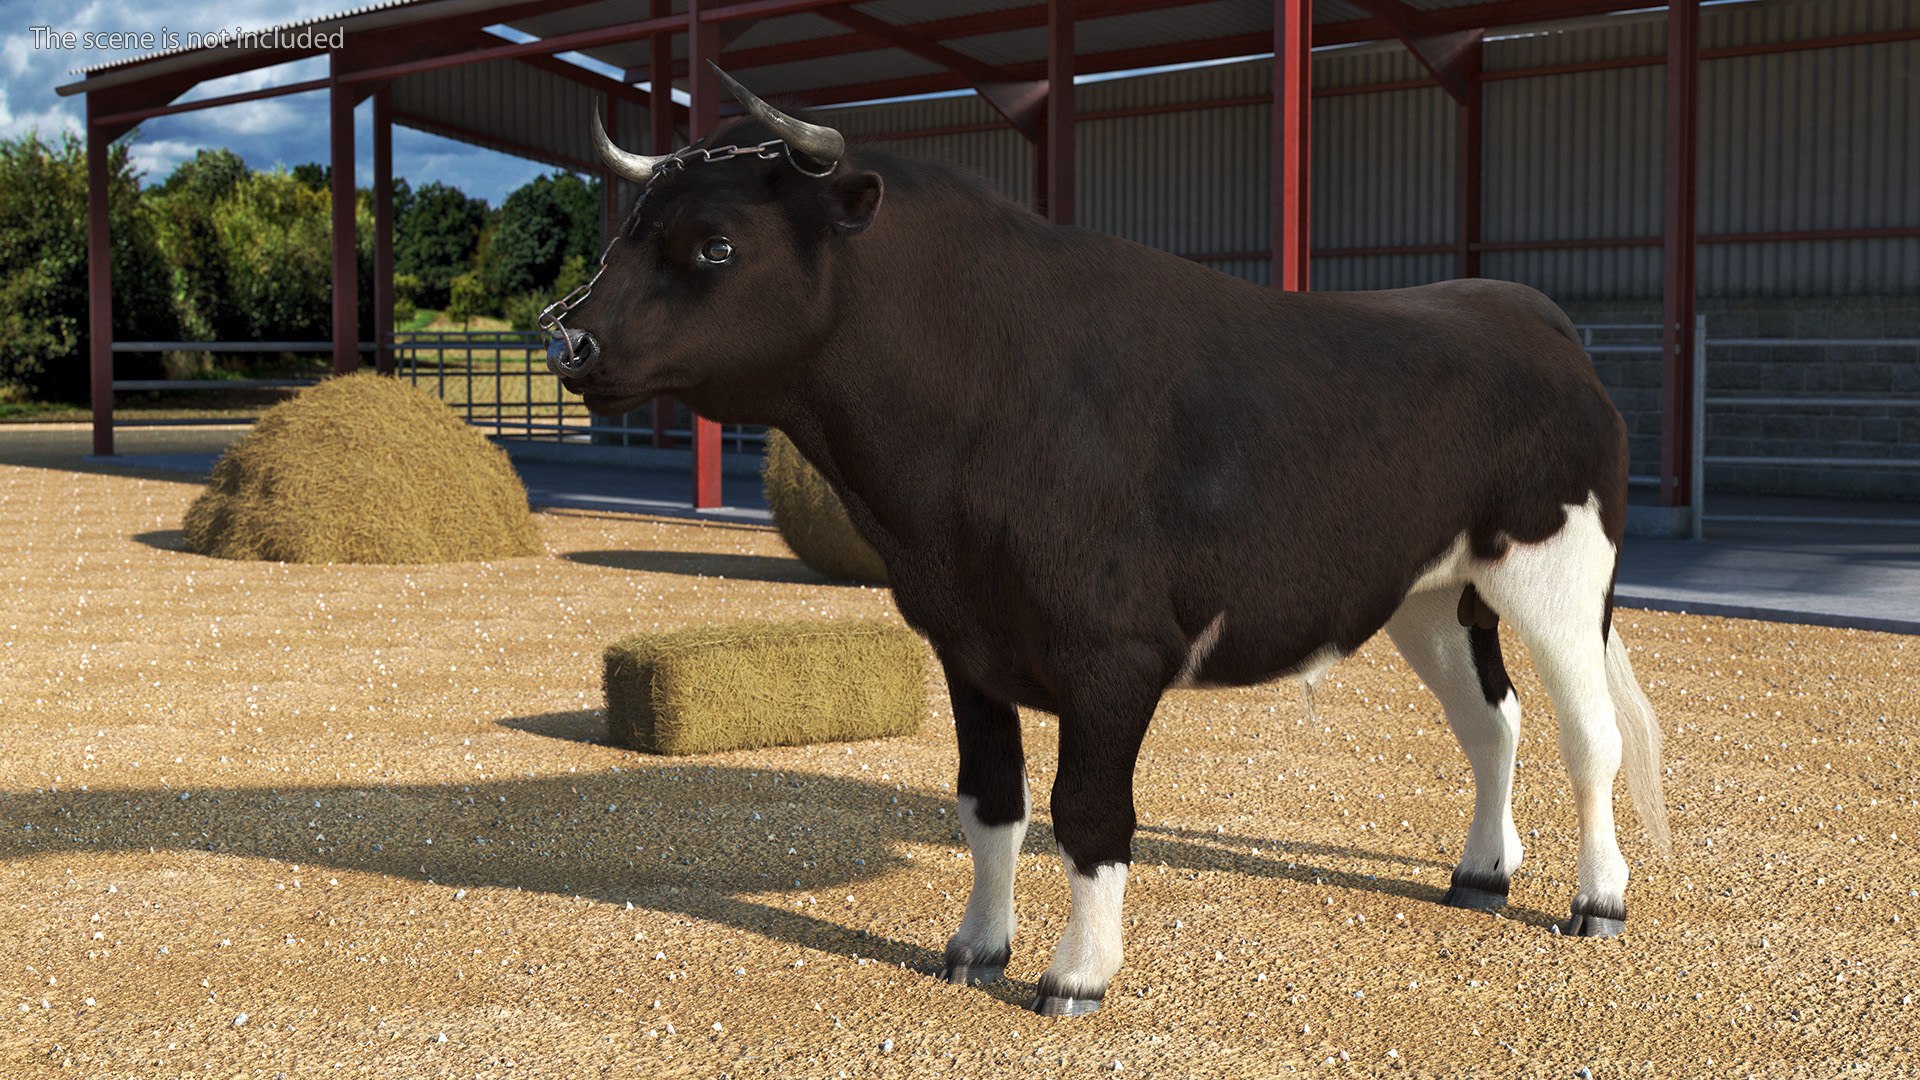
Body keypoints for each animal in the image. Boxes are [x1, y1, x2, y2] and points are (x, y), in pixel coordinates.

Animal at [543, 67, 1672, 1017]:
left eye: (715, 245)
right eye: (627, 232)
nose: (566, 336)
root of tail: (1516, 306)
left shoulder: (1114, 652)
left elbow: (1087, 813)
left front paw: (1075, 977)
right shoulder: (966, 641)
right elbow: (989, 804)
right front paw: (974, 949)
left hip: (1560, 570)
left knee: (1588, 735)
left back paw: (1599, 900)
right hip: (1433, 592)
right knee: (1492, 724)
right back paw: (1480, 875)